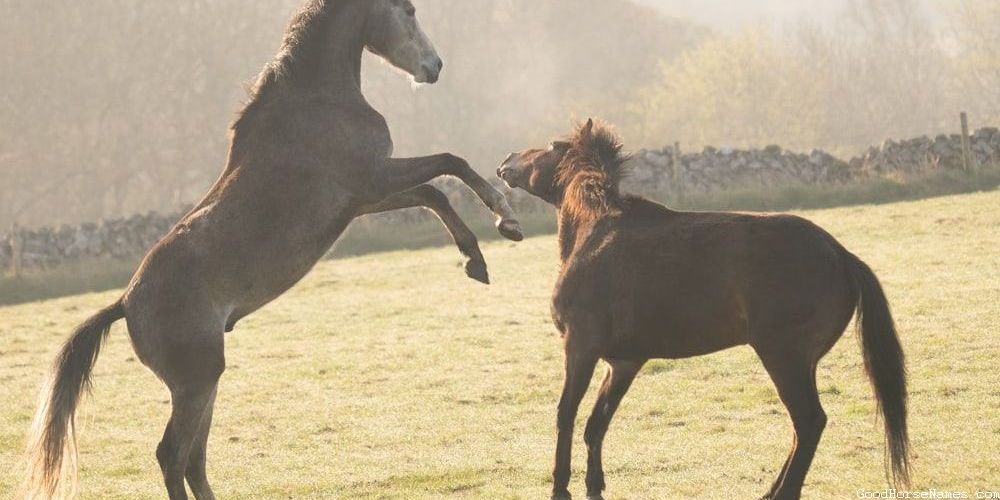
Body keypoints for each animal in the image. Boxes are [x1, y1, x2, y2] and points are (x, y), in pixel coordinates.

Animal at [26, 1, 523, 498]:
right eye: (408, 10)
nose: (434, 67)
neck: (317, 99)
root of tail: (125, 303)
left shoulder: (363, 198)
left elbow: (434, 194)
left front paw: (477, 258)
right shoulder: (373, 177)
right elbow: (448, 165)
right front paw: (506, 218)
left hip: (204, 383)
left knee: (194, 459)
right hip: (197, 380)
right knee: (172, 456)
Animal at [497, 119, 910, 500]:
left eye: (551, 145)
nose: (506, 162)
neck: (594, 231)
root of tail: (841, 255)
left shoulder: (580, 346)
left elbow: (565, 415)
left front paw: (559, 488)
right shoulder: (624, 362)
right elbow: (595, 425)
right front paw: (594, 487)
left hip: (783, 356)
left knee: (809, 421)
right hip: (801, 362)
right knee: (804, 426)